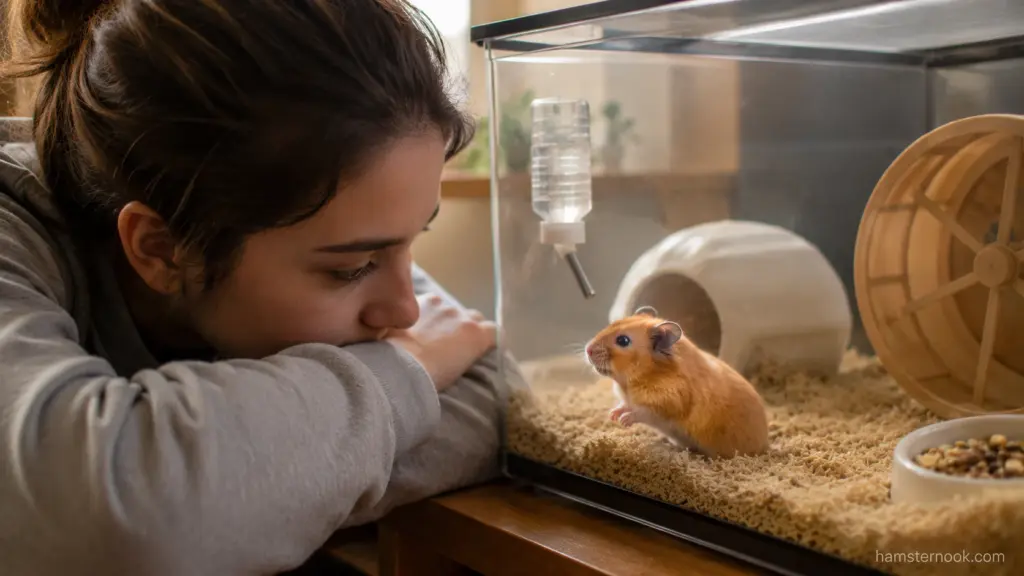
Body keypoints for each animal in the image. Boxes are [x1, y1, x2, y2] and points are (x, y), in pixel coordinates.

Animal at [584, 306, 769, 458]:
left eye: (623, 341)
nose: (588, 349)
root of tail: (765, 445)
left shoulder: (665, 405)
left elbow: (641, 412)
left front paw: (624, 420)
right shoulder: (630, 399)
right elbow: (624, 405)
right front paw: (613, 415)